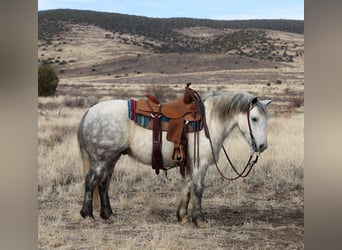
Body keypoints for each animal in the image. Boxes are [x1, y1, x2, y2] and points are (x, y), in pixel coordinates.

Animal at [79, 91, 272, 225]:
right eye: (254, 118)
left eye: (266, 119)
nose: (262, 146)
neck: (209, 123)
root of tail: (90, 111)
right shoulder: (200, 164)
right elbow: (198, 189)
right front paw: (199, 219)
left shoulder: (189, 165)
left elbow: (186, 188)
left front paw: (183, 217)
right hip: (101, 159)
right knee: (91, 181)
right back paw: (88, 215)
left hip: (112, 158)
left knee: (103, 183)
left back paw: (108, 215)